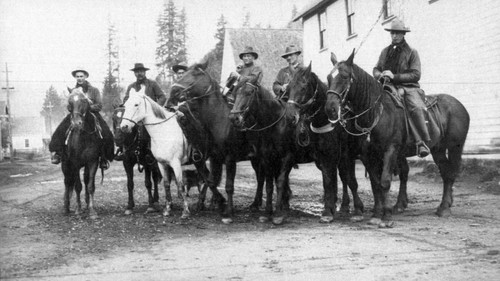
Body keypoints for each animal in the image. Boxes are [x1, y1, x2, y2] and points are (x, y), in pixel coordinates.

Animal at [120, 87, 192, 219]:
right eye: (125, 105)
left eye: (136, 104)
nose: (124, 127)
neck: (163, 132)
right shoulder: (161, 164)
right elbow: (166, 184)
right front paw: (167, 210)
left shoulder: (175, 164)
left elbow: (180, 185)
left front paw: (185, 212)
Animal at [288, 63, 366, 221]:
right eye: (289, 87)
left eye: (303, 87)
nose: (291, 116)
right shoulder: (324, 158)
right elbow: (328, 182)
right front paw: (328, 209)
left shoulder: (346, 156)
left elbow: (350, 181)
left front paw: (358, 207)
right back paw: (343, 205)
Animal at [326, 50, 470, 225]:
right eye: (329, 78)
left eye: (345, 76)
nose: (330, 109)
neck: (377, 112)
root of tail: (459, 106)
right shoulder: (367, 155)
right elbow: (375, 183)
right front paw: (376, 214)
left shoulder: (391, 150)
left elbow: (385, 181)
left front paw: (386, 216)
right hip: (438, 150)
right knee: (445, 172)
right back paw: (441, 206)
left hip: (455, 148)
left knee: (450, 174)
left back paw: (444, 209)